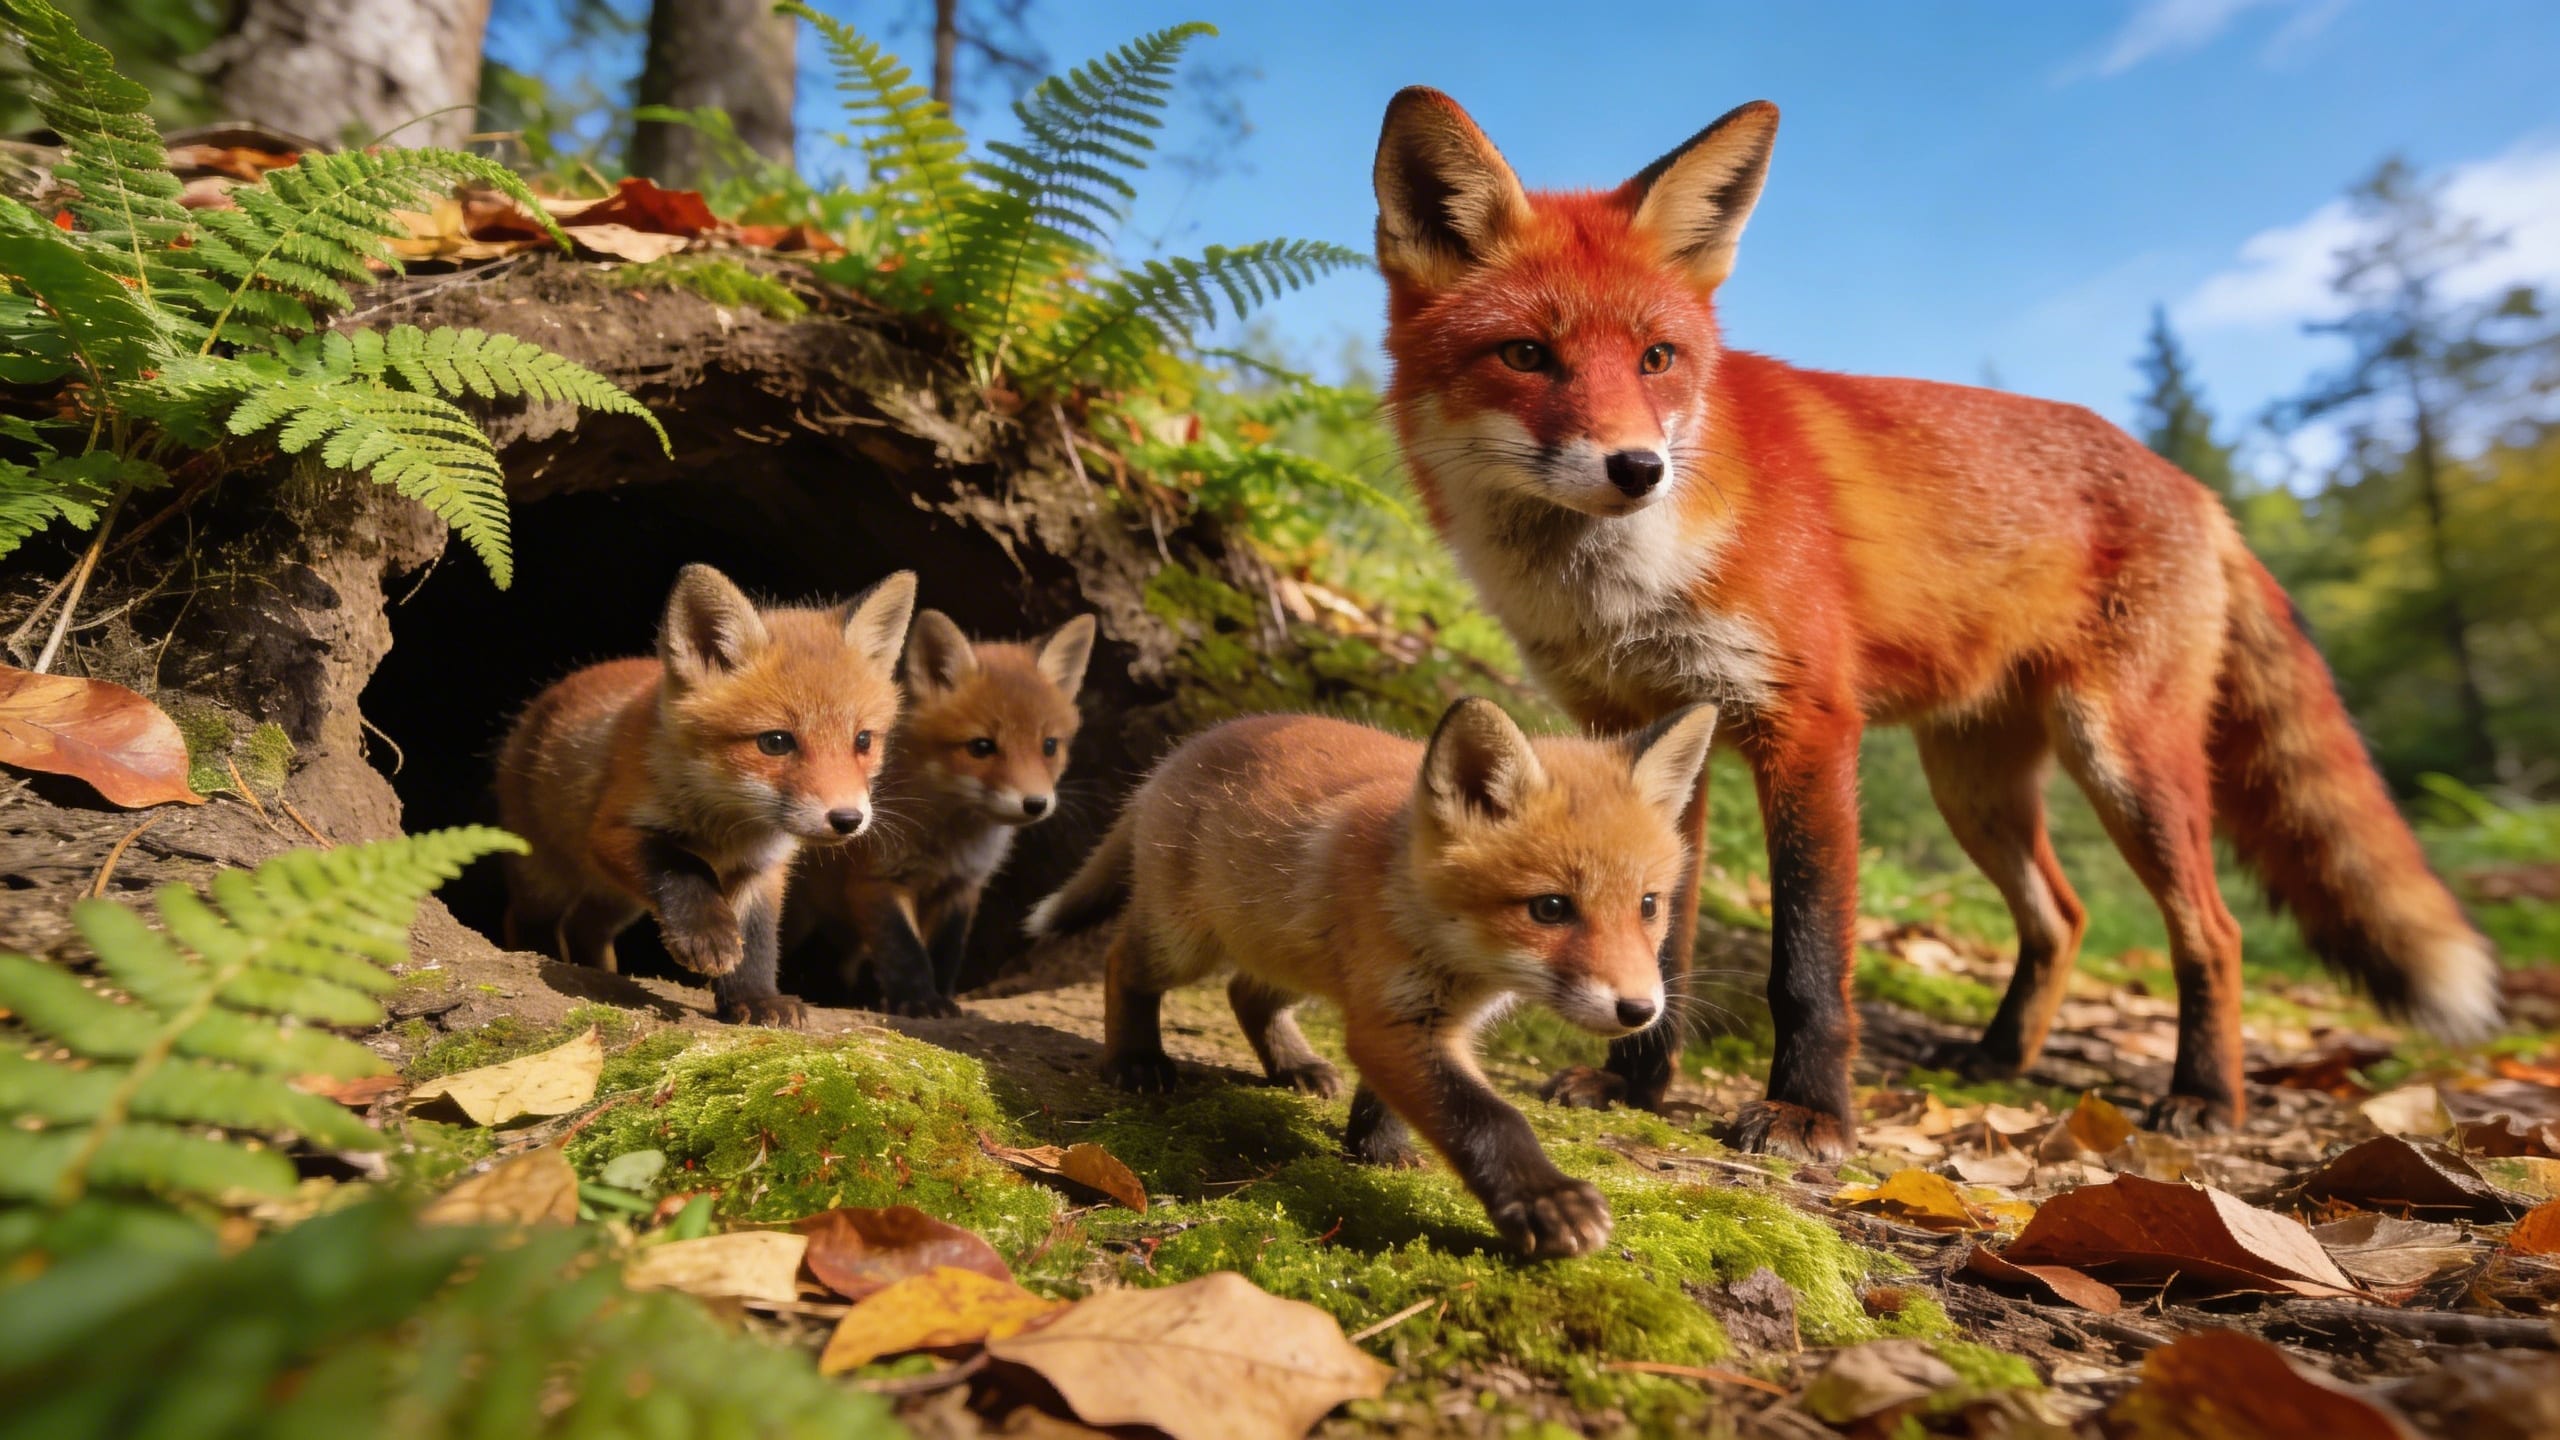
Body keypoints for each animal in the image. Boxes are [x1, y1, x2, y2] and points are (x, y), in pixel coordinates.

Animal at [495, 564, 917, 1027]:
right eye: (775, 742)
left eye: (863, 740)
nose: (847, 819)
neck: (729, 824)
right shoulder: (611, 830)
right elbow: (682, 864)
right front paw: (708, 934)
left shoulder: (763, 867)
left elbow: (757, 937)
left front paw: (757, 999)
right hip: (546, 878)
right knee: (530, 917)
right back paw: (540, 951)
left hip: (617, 900)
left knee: (588, 929)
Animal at [791, 609, 1096, 1017]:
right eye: (981, 747)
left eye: (1049, 746)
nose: (1035, 803)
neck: (946, 844)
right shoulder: (877, 878)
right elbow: (905, 950)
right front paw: (920, 1001)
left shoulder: (963, 885)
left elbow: (945, 952)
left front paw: (944, 998)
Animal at [1028, 696, 1720, 1256]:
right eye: (1550, 908)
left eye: (1649, 906)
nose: (1640, 1012)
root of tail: (1182, 752)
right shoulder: (1395, 1016)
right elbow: (1490, 1118)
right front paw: (1544, 1200)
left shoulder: (1416, 1016)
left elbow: (1390, 1097)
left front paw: (1377, 1149)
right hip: (1185, 942)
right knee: (1124, 962)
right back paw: (1138, 1060)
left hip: (1295, 956)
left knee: (1245, 992)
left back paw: (1295, 1066)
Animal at [1370, 90, 2501, 1159]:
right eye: (1525, 355)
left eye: (1657, 358)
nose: (1638, 468)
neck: (1623, 588)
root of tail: (2193, 485)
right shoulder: (1642, 738)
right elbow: (1658, 937)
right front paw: (1633, 1085)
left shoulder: (1806, 726)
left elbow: (1808, 962)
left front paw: (1809, 1116)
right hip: (1976, 785)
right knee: (2062, 916)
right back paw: (2000, 1058)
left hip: (2127, 763)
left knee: (2212, 933)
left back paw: (2204, 1097)